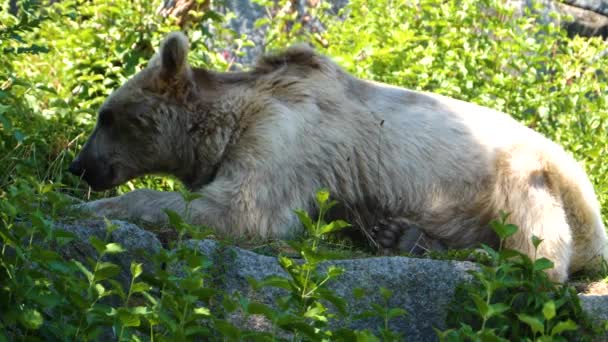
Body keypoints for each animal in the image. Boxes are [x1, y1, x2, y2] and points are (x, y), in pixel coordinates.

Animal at [70, 32, 608, 282]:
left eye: (105, 115)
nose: (80, 166)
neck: (233, 115)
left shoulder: (285, 135)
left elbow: (243, 210)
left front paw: (96, 208)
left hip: (538, 177)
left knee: (537, 229)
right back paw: (400, 235)